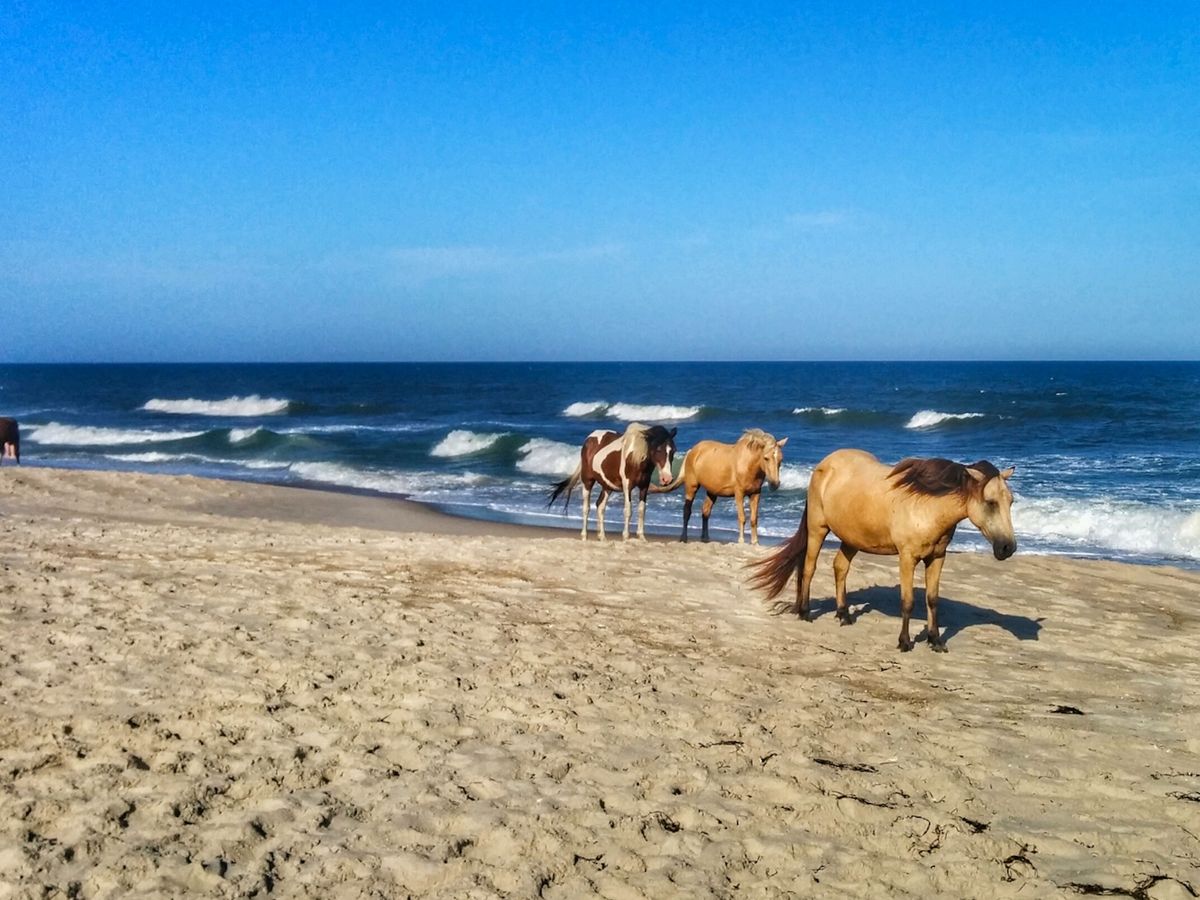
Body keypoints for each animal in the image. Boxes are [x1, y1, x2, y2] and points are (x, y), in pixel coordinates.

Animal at [548, 423, 678, 540]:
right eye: (659, 449)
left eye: (673, 451)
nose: (667, 478)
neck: (635, 457)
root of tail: (589, 439)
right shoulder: (627, 486)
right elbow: (628, 510)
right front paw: (626, 537)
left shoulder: (644, 486)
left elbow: (642, 510)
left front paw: (641, 537)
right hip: (587, 481)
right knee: (586, 508)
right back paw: (584, 536)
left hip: (607, 486)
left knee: (600, 506)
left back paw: (602, 536)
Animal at [655, 429, 788, 544]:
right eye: (766, 458)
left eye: (781, 459)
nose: (775, 484)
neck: (748, 465)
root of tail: (693, 450)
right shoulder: (739, 494)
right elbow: (742, 517)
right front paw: (741, 541)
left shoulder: (755, 494)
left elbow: (754, 519)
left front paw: (755, 542)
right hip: (691, 486)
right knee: (687, 511)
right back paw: (683, 538)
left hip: (712, 492)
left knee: (705, 511)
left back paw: (705, 538)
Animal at [749, 449, 1015, 652]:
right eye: (990, 502)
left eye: (1011, 501)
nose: (1008, 548)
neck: (926, 505)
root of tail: (824, 465)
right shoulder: (907, 558)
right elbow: (908, 601)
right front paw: (905, 642)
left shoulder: (937, 558)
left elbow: (932, 600)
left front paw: (935, 641)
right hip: (817, 529)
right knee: (808, 569)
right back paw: (805, 613)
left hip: (851, 538)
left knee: (840, 568)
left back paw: (844, 615)